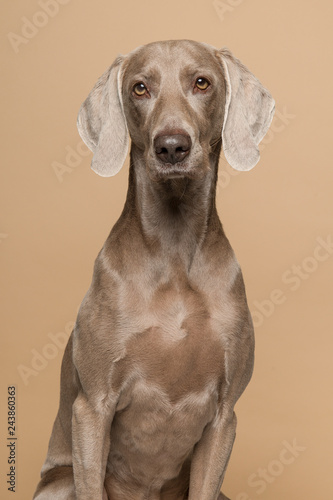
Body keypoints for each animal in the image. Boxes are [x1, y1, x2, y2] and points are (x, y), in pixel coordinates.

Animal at [33, 40, 274, 500]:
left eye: (202, 82)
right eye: (140, 88)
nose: (172, 146)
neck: (174, 253)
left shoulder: (224, 417)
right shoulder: (91, 408)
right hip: (59, 483)